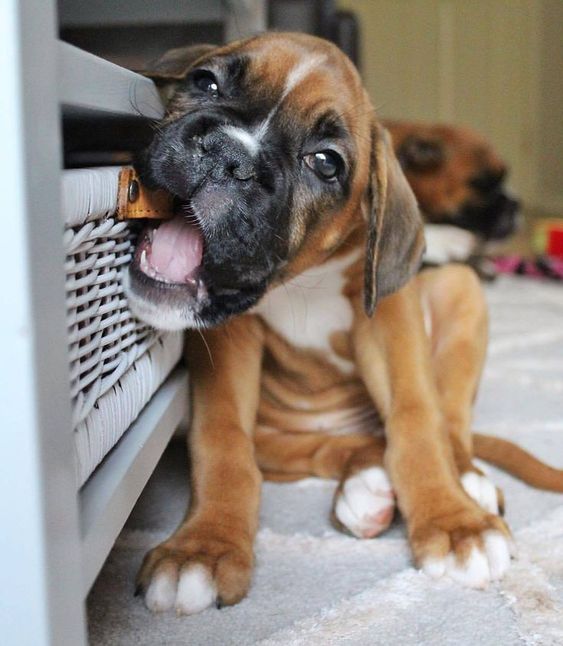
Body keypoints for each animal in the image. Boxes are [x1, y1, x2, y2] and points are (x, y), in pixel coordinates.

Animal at [124, 31, 563, 616]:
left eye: (326, 162)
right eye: (206, 82)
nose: (229, 154)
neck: (301, 280)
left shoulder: (388, 320)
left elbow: (417, 420)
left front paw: (453, 523)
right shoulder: (231, 337)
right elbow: (223, 441)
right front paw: (204, 546)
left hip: (460, 290)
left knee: (448, 423)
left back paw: (466, 482)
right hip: (284, 435)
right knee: (330, 449)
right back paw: (365, 486)